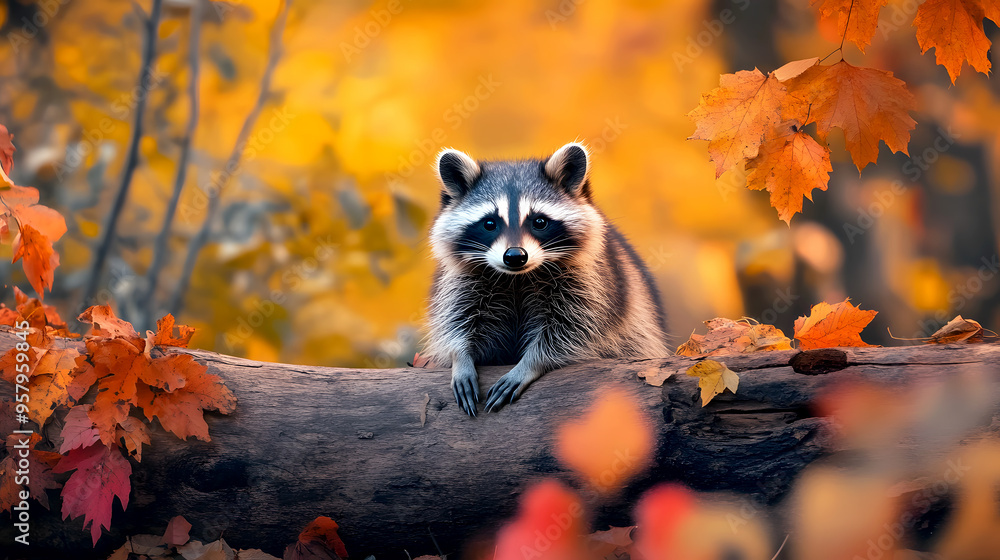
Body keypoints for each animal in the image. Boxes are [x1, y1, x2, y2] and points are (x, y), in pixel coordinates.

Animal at [423, 142, 668, 416]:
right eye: (489, 223)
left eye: (539, 221)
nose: (515, 256)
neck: (517, 278)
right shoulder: (460, 281)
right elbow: (457, 321)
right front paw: (461, 357)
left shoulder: (590, 281)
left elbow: (571, 330)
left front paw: (531, 363)